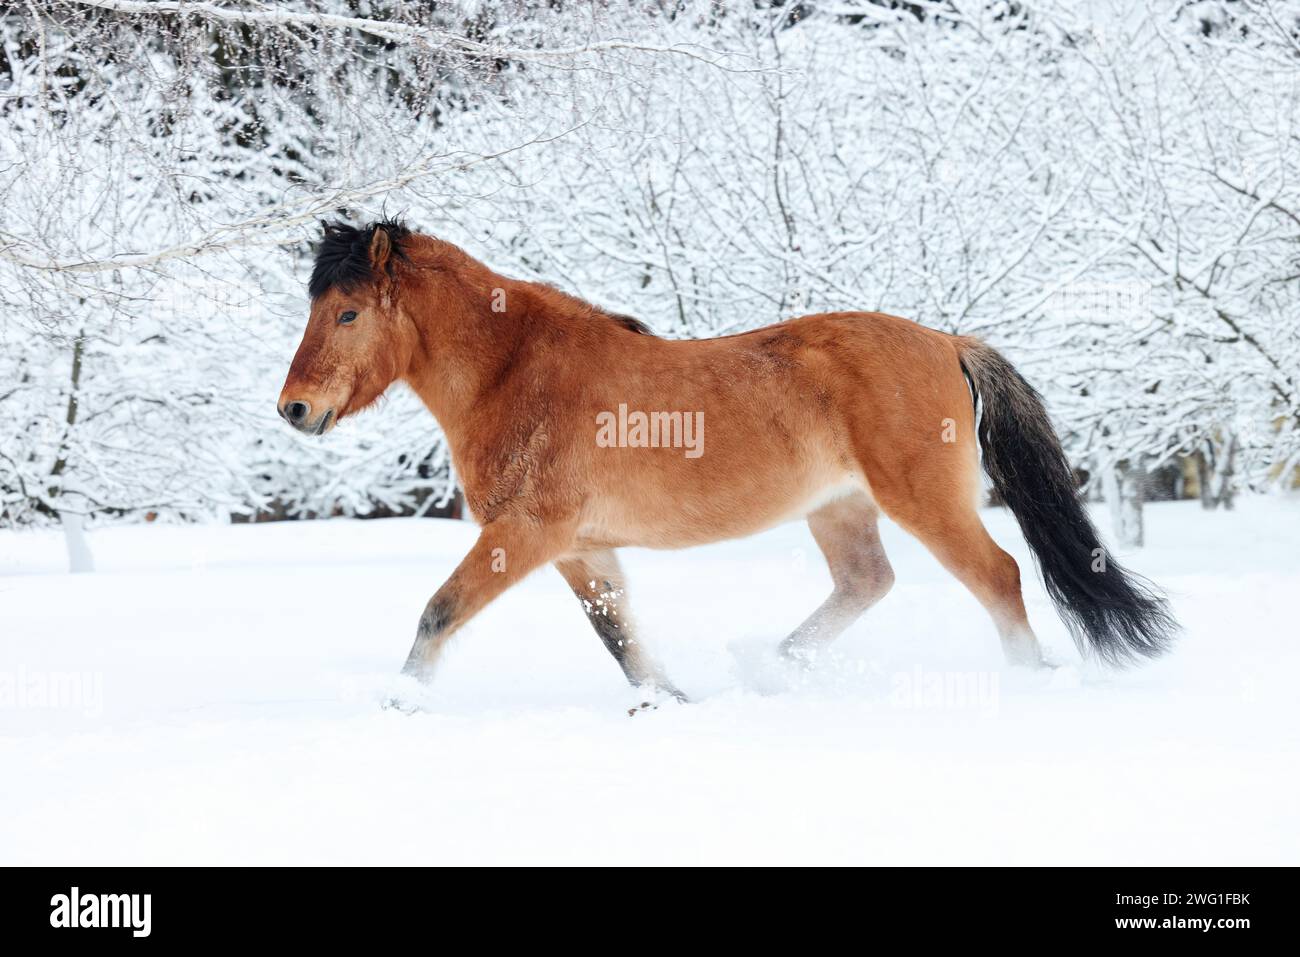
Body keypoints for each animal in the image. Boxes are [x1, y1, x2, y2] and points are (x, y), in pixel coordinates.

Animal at [278, 219, 1175, 701]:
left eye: (348, 312)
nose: (294, 410)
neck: (515, 368)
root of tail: (946, 341)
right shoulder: (579, 548)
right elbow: (619, 637)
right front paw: (670, 700)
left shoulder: (525, 534)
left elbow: (439, 611)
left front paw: (400, 701)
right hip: (838, 508)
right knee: (867, 582)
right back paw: (772, 669)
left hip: (924, 501)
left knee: (998, 576)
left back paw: (1027, 678)